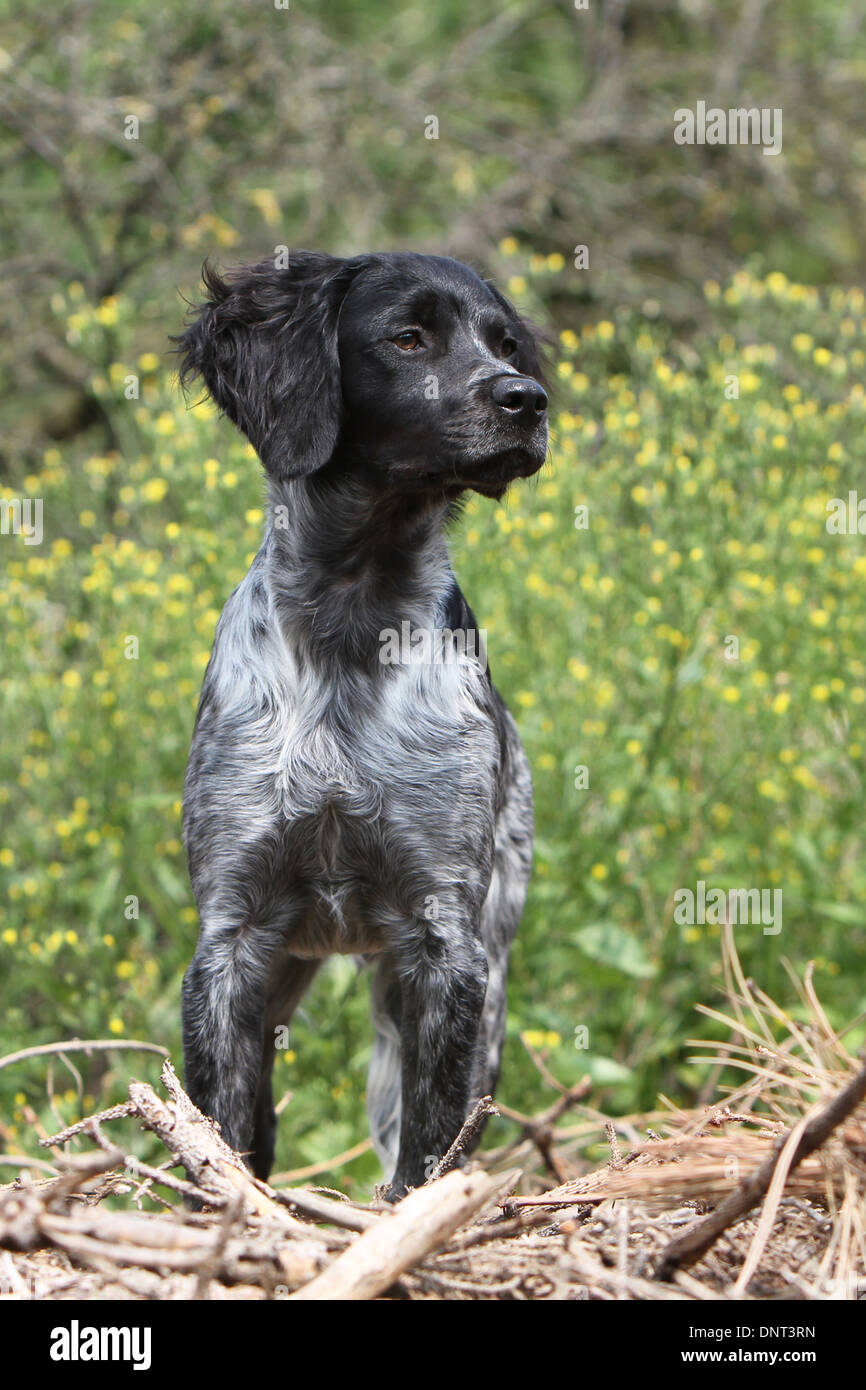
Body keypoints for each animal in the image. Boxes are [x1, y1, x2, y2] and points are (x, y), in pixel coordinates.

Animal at [176, 252, 547, 1206]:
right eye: (408, 337)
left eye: (504, 344)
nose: (527, 400)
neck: (351, 614)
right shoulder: (231, 939)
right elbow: (216, 1132)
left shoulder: (445, 943)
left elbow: (428, 1146)